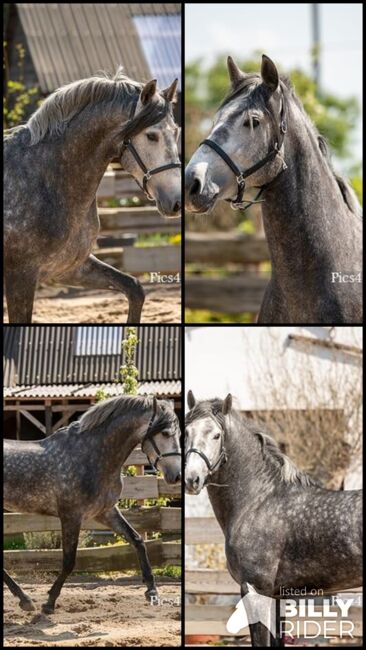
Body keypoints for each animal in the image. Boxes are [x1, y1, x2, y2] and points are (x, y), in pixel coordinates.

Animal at [4, 69, 182, 322]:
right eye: (151, 136)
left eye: (175, 132)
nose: (177, 201)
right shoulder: (21, 276)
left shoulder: (69, 268)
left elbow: (135, 289)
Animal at [4, 394, 182, 612]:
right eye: (165, 433)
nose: (176, 476)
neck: (92, 456)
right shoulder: (71, 516)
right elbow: (69, 562)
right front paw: (50, 602)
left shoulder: (105, 512)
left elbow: (137, 540)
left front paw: (152, 591)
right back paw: (25, 599)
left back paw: (24, 599)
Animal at [186, 390, 364, 644]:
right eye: (186, 431)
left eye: (216, 435)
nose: (192, 479)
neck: (258, 500)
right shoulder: (277, 595)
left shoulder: (256, 589)